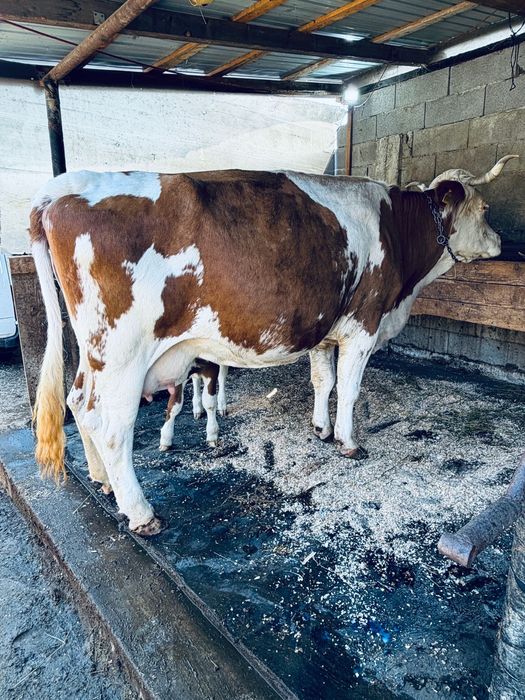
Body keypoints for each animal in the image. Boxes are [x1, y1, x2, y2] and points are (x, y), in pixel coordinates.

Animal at [30, 163, 509, 535]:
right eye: (486, 208)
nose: (502, 242)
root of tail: (63, 187)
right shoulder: (363, 323)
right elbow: (349, 389)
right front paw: (348, 441)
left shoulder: (324, 330)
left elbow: (323, 380)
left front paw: (320, 429)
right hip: (122, 353)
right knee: (111, 425)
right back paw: (141, 512)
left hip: (95, 352)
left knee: (79, 403)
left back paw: (101, 480)